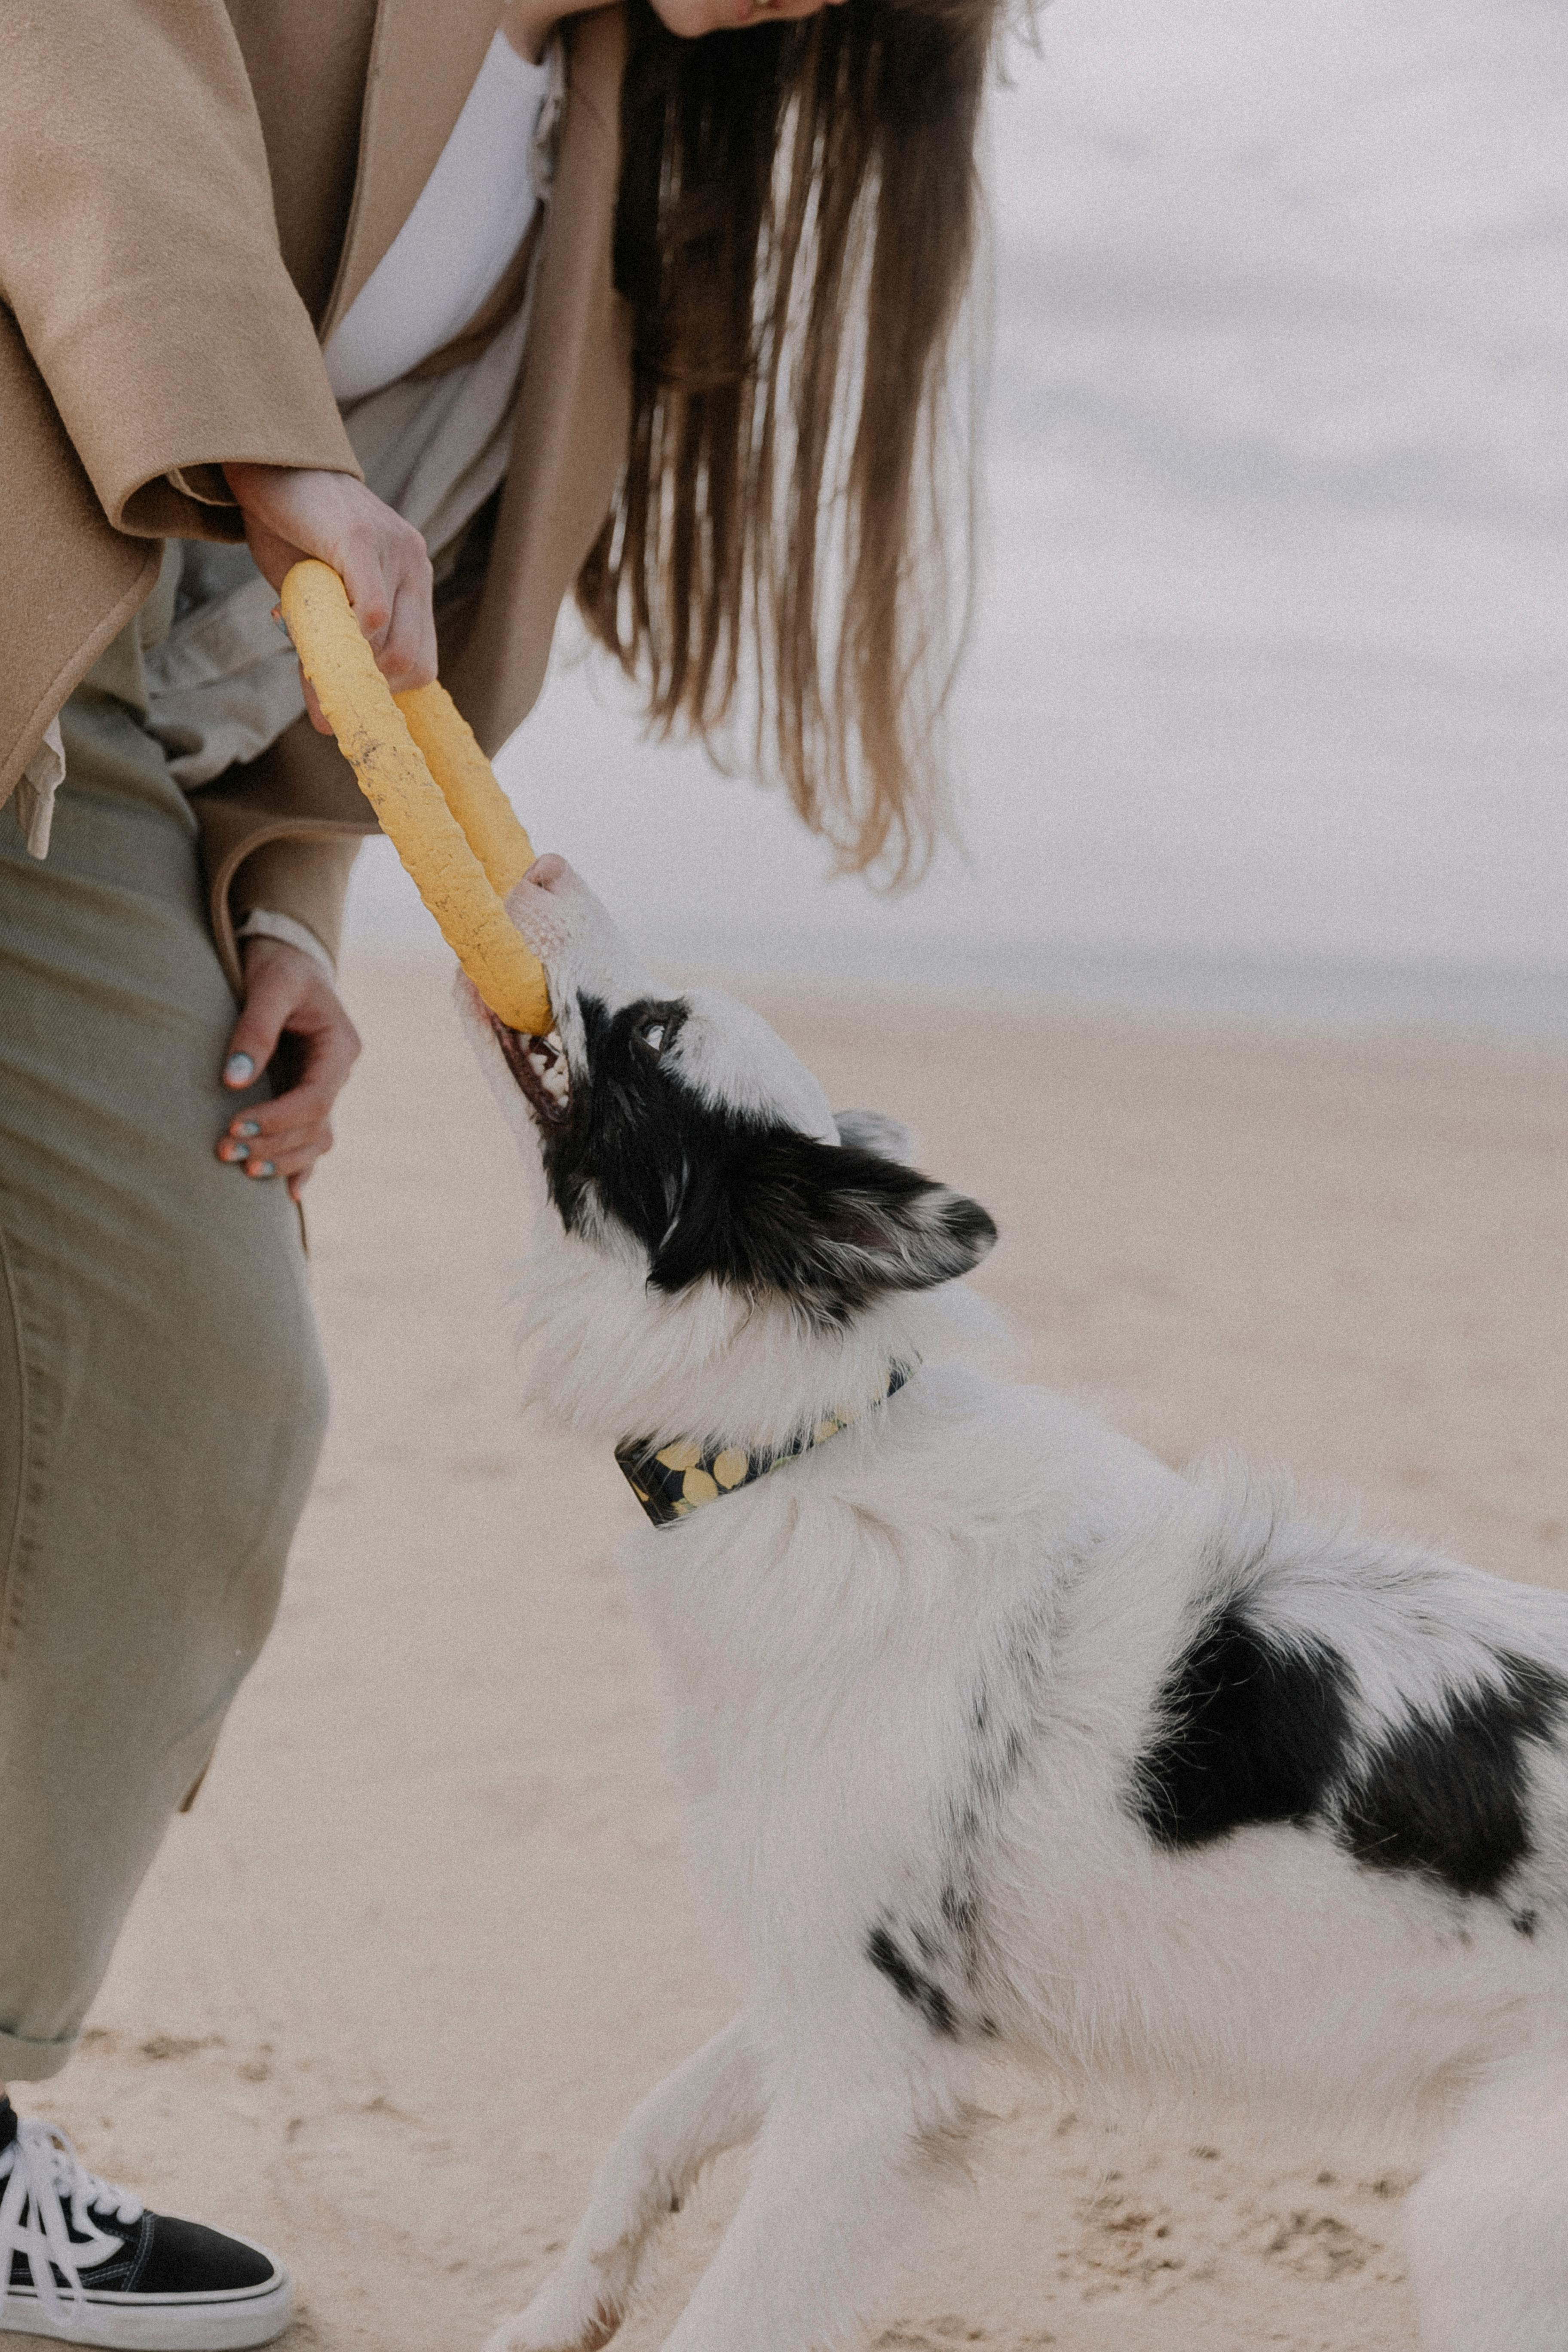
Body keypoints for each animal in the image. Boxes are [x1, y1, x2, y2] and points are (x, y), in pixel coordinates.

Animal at [460, 861, 1568, 2352]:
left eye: (654, 1032)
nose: (539, 868)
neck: (803, 1445)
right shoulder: (841, 1992)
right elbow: (648, 2128)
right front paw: (555, 2313)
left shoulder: (863, 2095)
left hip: (1485, 2228)